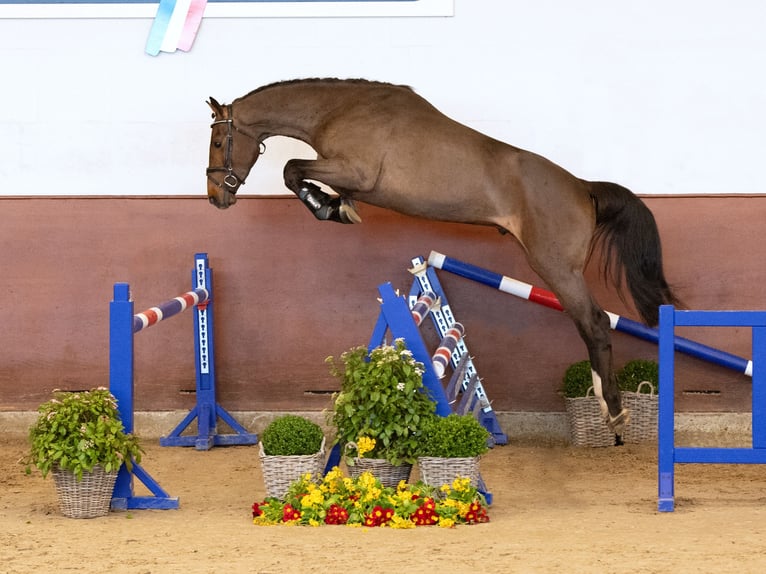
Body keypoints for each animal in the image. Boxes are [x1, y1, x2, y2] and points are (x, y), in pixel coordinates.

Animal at [206, 78, 679, 443]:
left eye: (218, 140)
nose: (215, 197)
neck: (339, 110)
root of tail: (583, 187)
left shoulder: (354, 171)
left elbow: (291, 168)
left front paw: (329, 208)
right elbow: (298, 172)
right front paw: (336, 206)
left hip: (556, 268)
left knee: (595, 324)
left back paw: (613, 412)